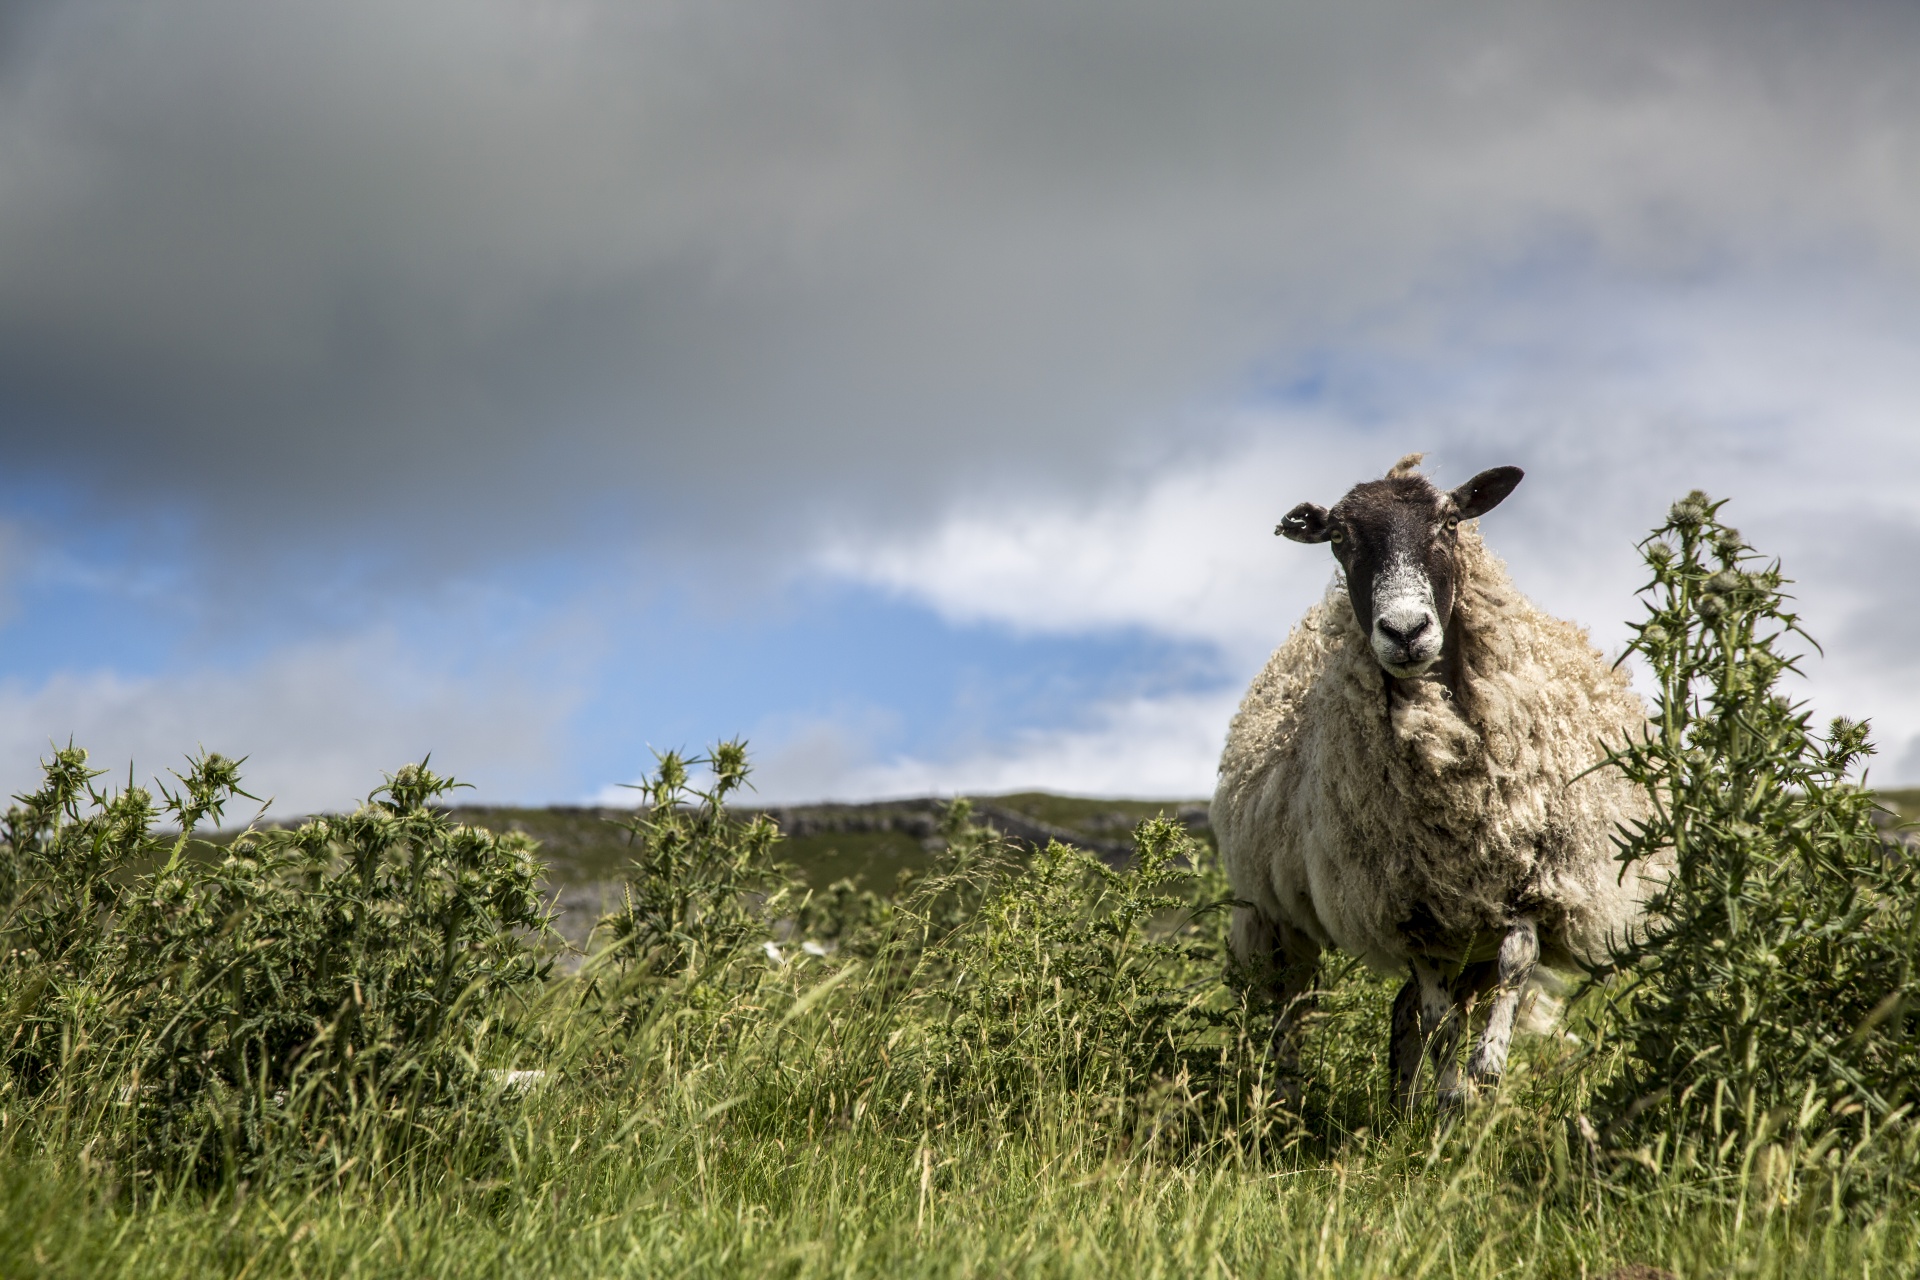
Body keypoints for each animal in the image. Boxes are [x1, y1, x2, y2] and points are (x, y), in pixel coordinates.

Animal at [1221, 454, 1658, 1105]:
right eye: (1338, 537)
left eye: (1450, 522)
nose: (1405, 631)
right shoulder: (1411, 912)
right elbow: (1439, 1019)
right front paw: (1452, 1094)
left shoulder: (1533, 885)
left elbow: (1512, 970)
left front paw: (1483, 1076)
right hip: (1275, 915)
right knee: (1293, 1011)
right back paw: (1287, 1106)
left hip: (1468, 931)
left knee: (1404, 1010)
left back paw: (1401, 1106)